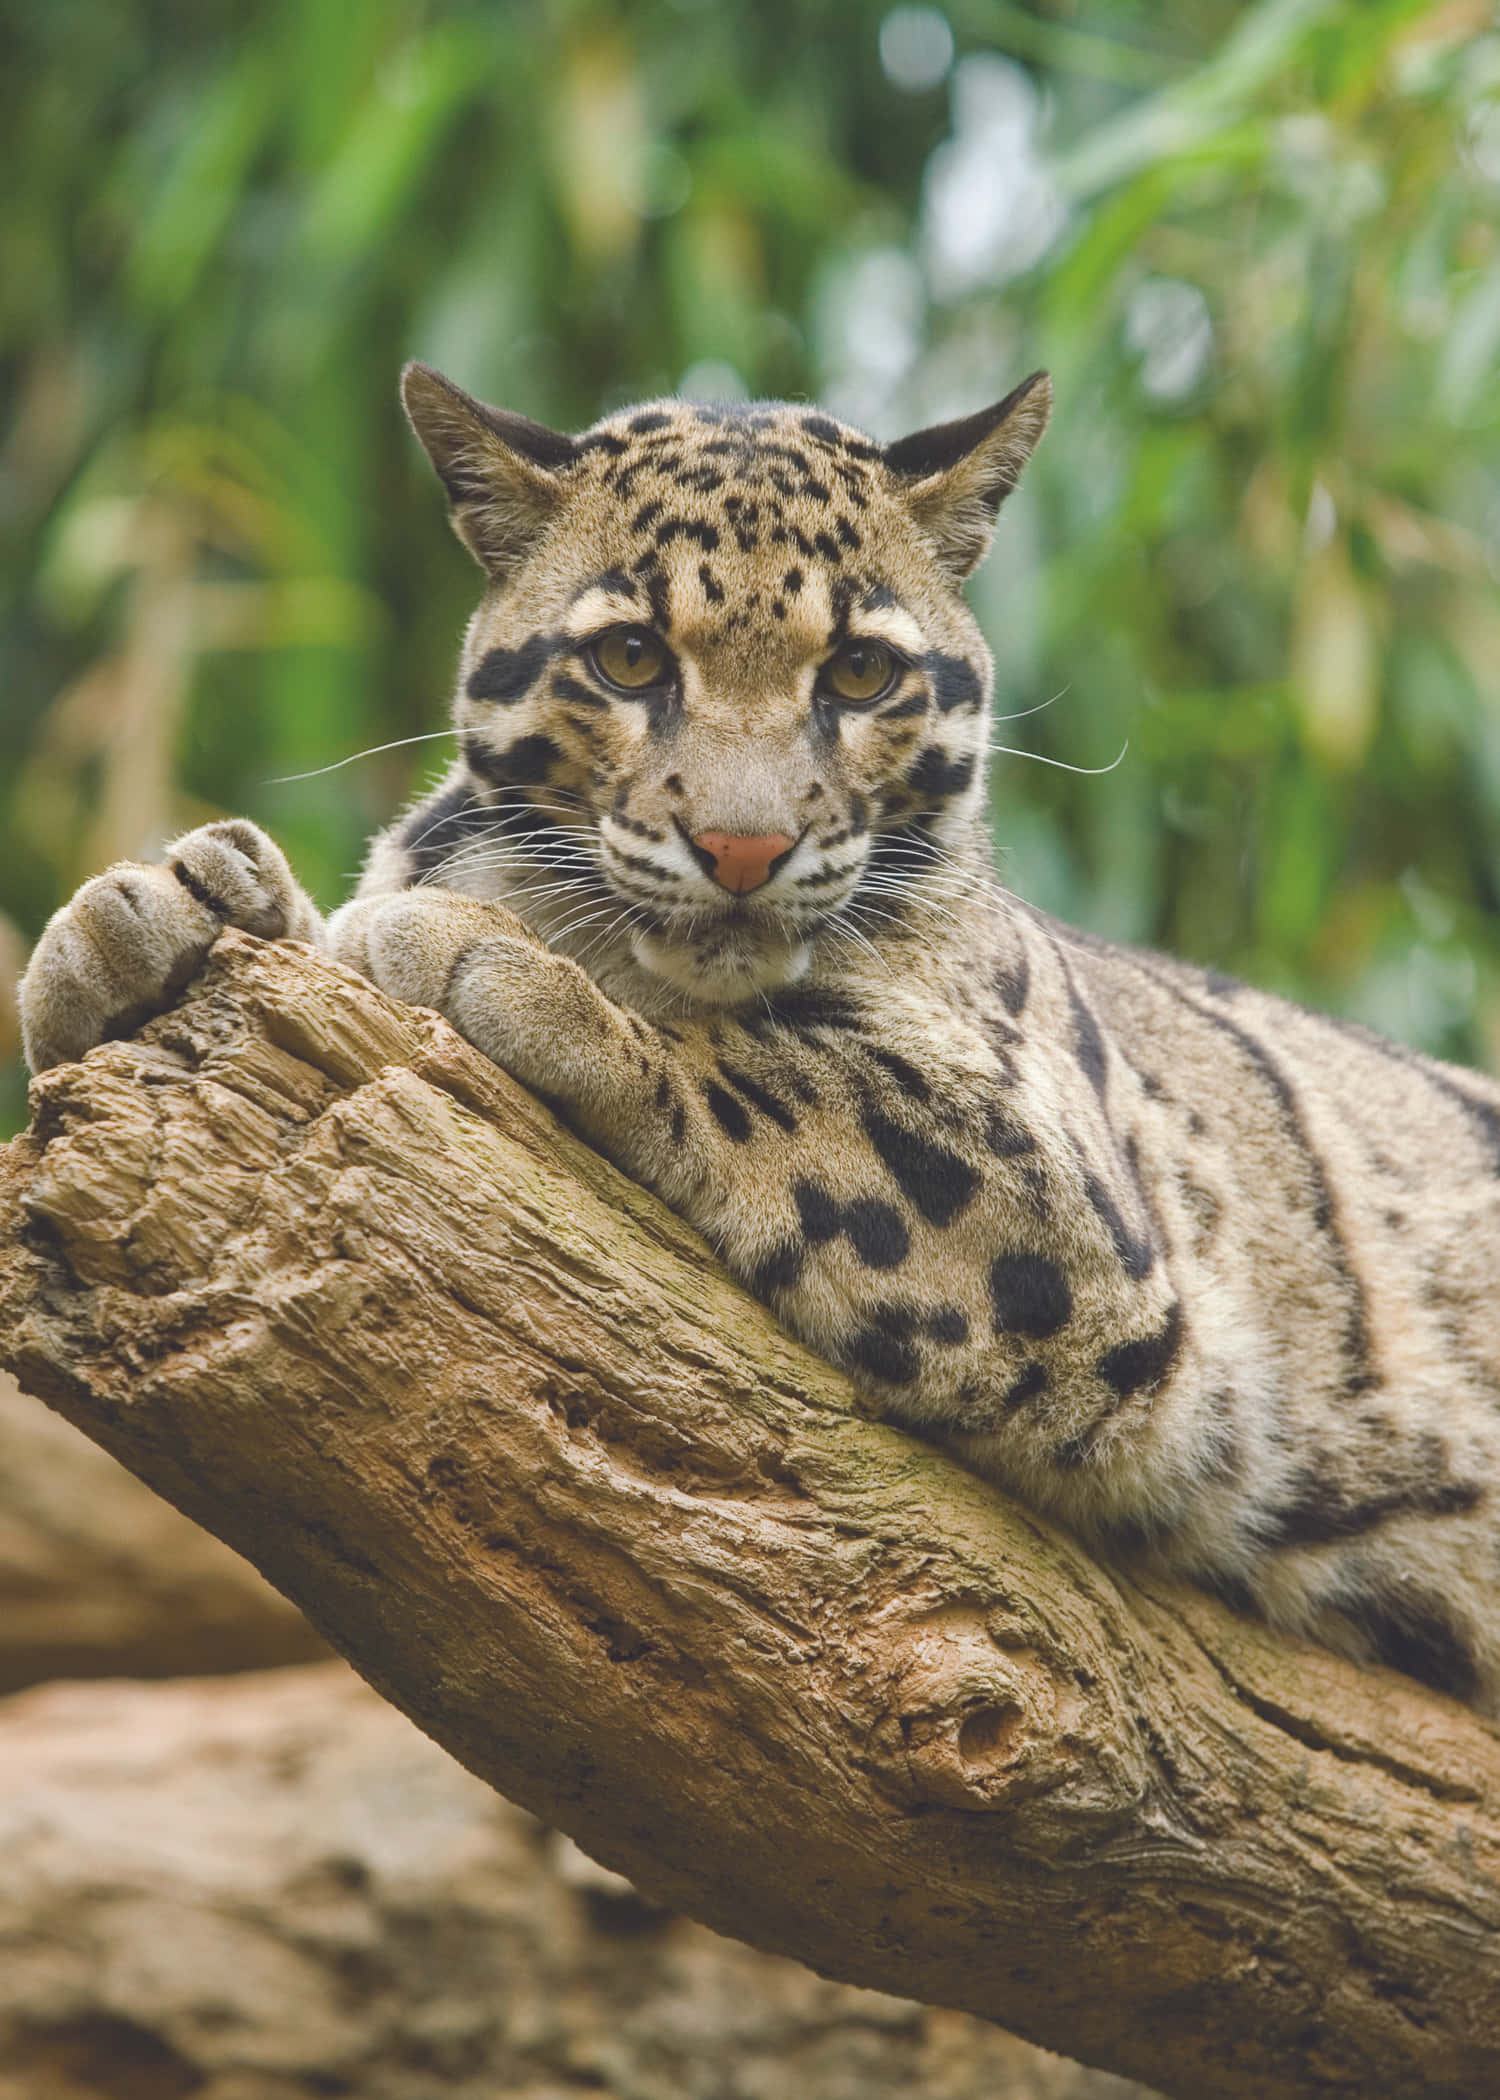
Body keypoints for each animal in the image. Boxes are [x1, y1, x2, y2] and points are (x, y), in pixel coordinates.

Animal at [19, 361, 1500, 1715]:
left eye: (862, 670)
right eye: (628, 657)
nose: (743, 845)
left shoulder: (1095, 1240)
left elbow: (776, 1072)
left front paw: (477, 954)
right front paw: (160, 917)